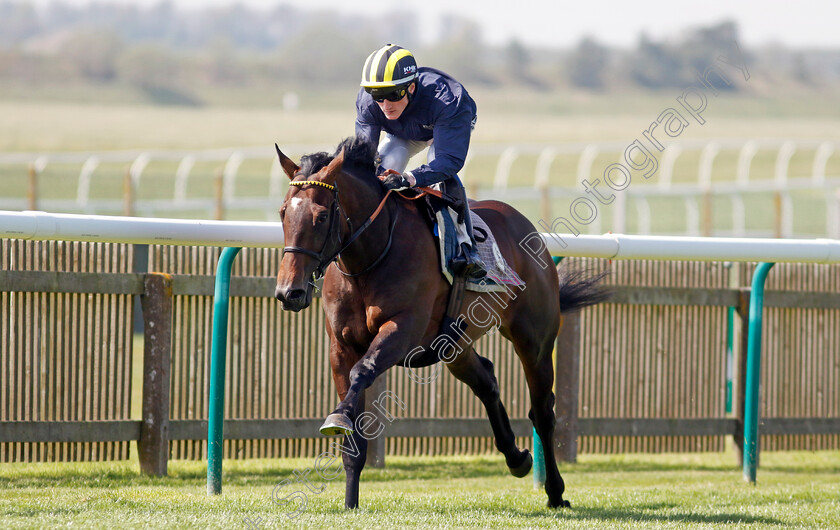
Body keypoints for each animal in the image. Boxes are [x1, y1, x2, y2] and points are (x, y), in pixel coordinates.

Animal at [272, 135, 608, 508]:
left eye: (320, 216)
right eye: (283, 212)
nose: (289, 292)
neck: (371, 257)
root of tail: (525, 224)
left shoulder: (402, 329)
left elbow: (364, 370)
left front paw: (338, 417)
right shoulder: (341, 345)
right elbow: (353, 435)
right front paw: (350, 502)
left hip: (534, 340)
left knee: (543, 411)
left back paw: (555, 491)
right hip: (454, 344)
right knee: (487, 381)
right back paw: (516, 457)